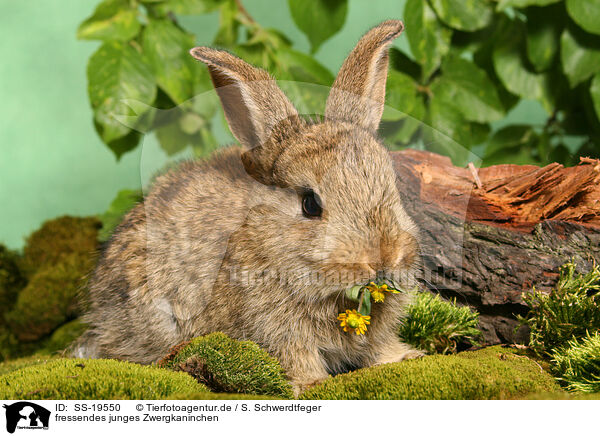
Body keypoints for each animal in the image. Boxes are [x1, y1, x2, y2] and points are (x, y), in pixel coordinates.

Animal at [74, 19, 422, 396]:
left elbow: (378, 347)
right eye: (310, 204)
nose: (382, 258)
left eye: (391, 185)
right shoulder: (277, 330)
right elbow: (297, 357)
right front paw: (311, 384)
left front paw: (405, 357)